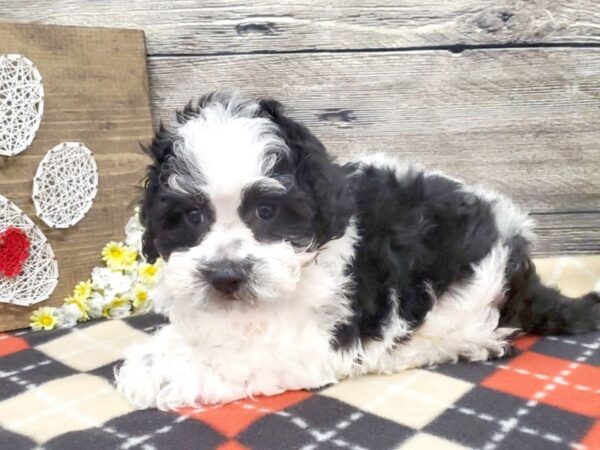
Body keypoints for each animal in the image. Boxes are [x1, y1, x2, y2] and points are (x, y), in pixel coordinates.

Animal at [116, 93, 600, 410]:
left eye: (266, 211)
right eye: (192, 216)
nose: (226, 275)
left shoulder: (308, 344)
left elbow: (241, 361)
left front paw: (164, 373)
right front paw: (160, 352)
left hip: (466, 292)